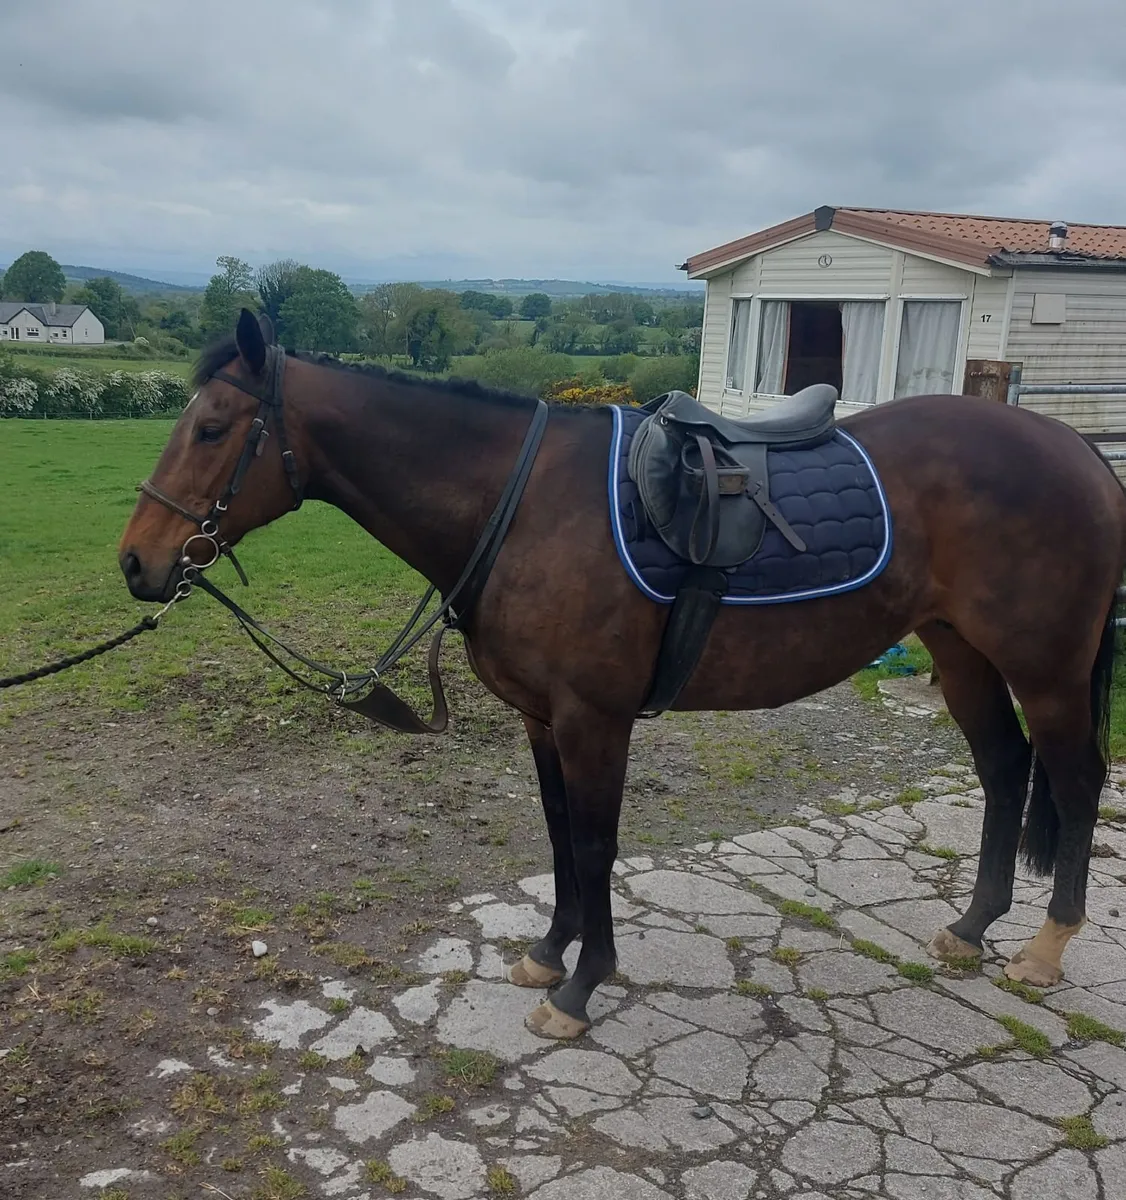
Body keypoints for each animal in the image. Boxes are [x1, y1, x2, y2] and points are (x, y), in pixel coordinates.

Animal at [119, 309, 1126, 1041]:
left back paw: (1045, 946)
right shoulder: (540, 719)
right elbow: (560, 835)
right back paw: (972, 927)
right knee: (1003, 768)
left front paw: (579, 989)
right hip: (960, 650)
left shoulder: (592, 718)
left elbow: (596, 844)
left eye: (212, 427)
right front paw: (549, 952)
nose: (137, 562)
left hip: (1044, 666)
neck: (523, 505)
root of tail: (1075, 449)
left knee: (1075, 780)